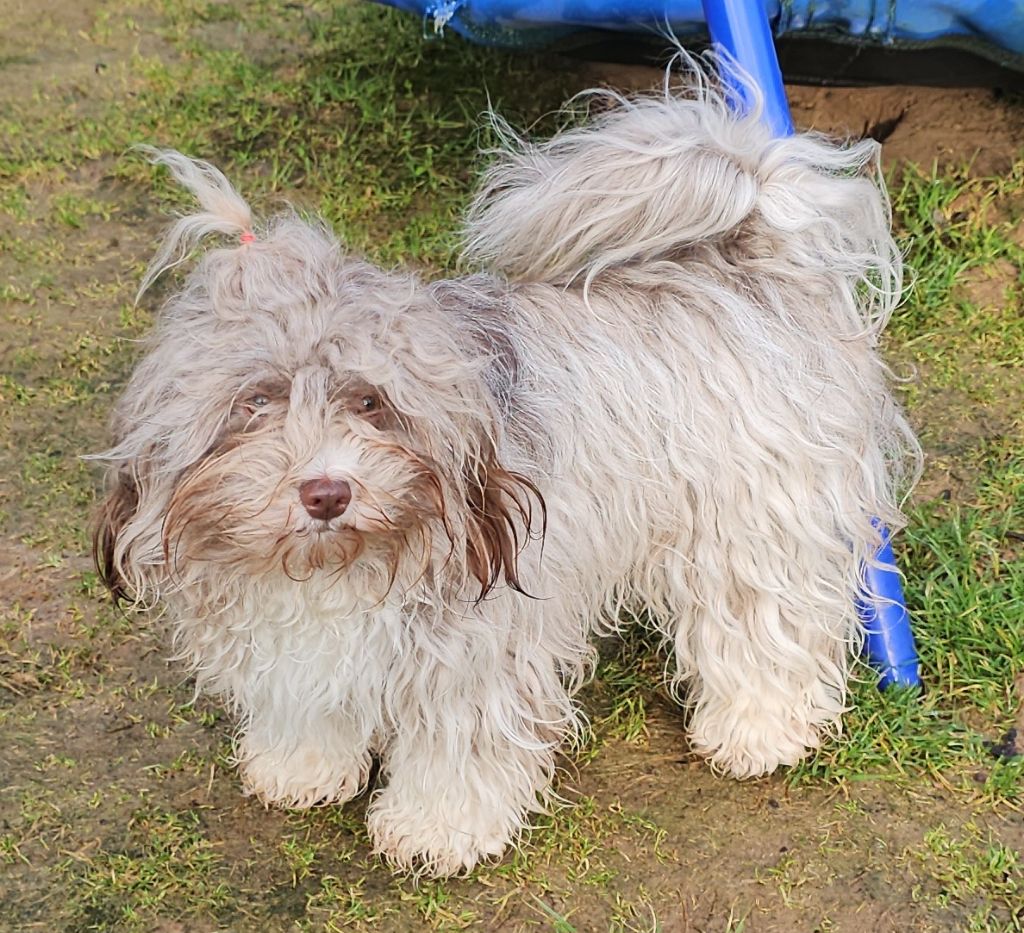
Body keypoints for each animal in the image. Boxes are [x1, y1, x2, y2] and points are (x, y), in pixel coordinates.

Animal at [94, 62, 920, 876]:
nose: (326, 492)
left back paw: (760, 728)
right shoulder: (293, 642)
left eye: (369, 401)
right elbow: (309, 705)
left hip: (752, 522)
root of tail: (749, 245)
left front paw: (436, 828)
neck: (342, 569)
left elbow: (458, 748)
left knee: (768, 625)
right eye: (255, 402)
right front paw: (301, 766)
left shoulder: (473, 648)